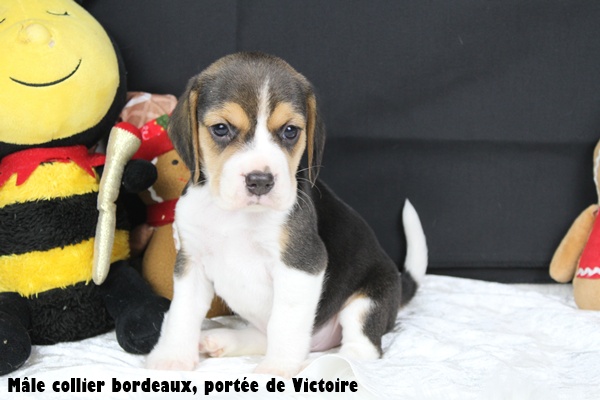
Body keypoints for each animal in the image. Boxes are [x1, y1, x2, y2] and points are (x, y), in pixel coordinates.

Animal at [146, 52, 428, 378]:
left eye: (290, 131)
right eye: (221, 129)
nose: (260, 180)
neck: (236, 216)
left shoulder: (301, 264)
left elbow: (285, 323)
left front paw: (277, 369)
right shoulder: (191, 262)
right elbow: (182, 314)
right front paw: (173, 359)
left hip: (368, 300)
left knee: (362, 350)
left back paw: (315, 362)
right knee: (262, 333)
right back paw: (222, 339)